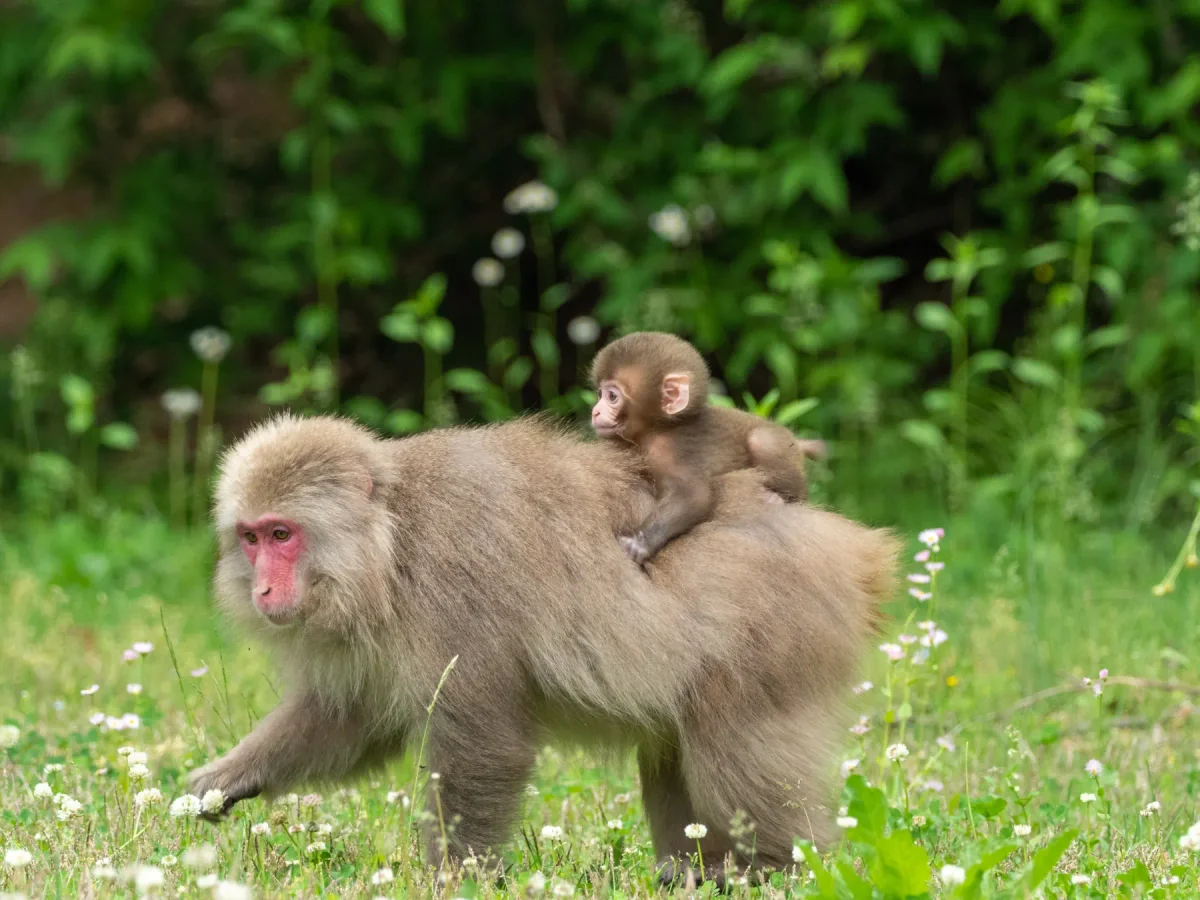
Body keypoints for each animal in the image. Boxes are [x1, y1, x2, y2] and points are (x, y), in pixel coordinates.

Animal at [188, 413, 898, 885]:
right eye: (249, 537)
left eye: (283, 535)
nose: (263, 587)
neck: (390, 544)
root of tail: (850, 548)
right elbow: (353, 720)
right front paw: (229, 777)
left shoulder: (452, 588)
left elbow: (482, 745)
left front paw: (455, 881)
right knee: (674, 752)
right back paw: (688, 873)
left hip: (773, 632)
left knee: (735, 749)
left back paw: (785, 871)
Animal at [590, 331, 828, 564]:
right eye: (600, 393)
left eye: (612, 396)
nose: (595, 411)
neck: (661, 427)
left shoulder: (669, 450)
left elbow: (695, 496)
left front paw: (639, 543)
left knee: (762, 440)